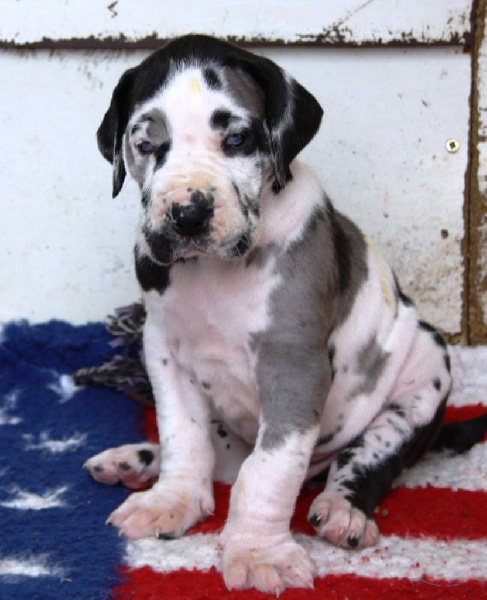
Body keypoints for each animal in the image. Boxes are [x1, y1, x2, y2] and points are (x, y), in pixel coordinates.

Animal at [84, 35, 483, 594]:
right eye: (146, 145)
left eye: (236, 140)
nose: (188, 214)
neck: (213, 272)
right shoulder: (163, 349)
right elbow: (184, 434)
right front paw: (173, 499)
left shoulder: (294, 365)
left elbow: (269, 468)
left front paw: (257, 551)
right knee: (220, 455)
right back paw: (137, 460)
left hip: (424, 368)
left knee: (367, 456)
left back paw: (343, 507)